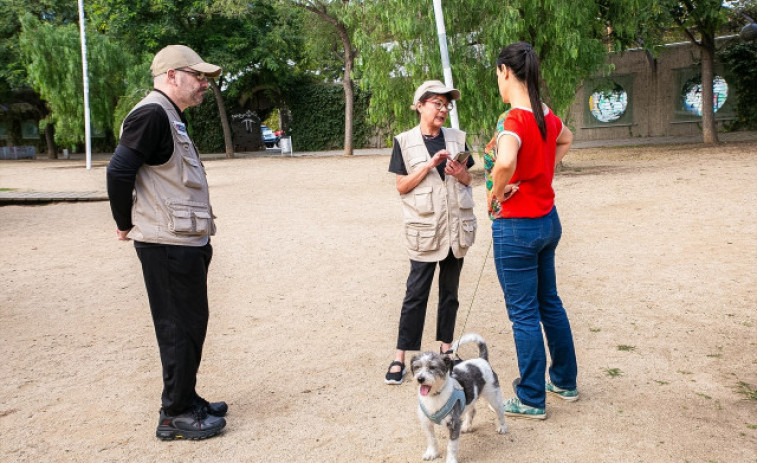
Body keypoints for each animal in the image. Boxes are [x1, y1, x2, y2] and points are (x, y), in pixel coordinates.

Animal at [408, 334, 508, 463]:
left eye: (432, 367)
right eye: (417, 367)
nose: (420, 379)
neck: (435, 396)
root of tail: (482, 360)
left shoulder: (454, 423)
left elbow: (452, 446)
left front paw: (451, 460)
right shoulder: (426, 422)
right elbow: (431, 439)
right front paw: (432, 453)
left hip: (494, 396)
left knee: (500, 412)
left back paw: (502, 427)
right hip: (472, 398)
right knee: (472, 410)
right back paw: (466, 426)